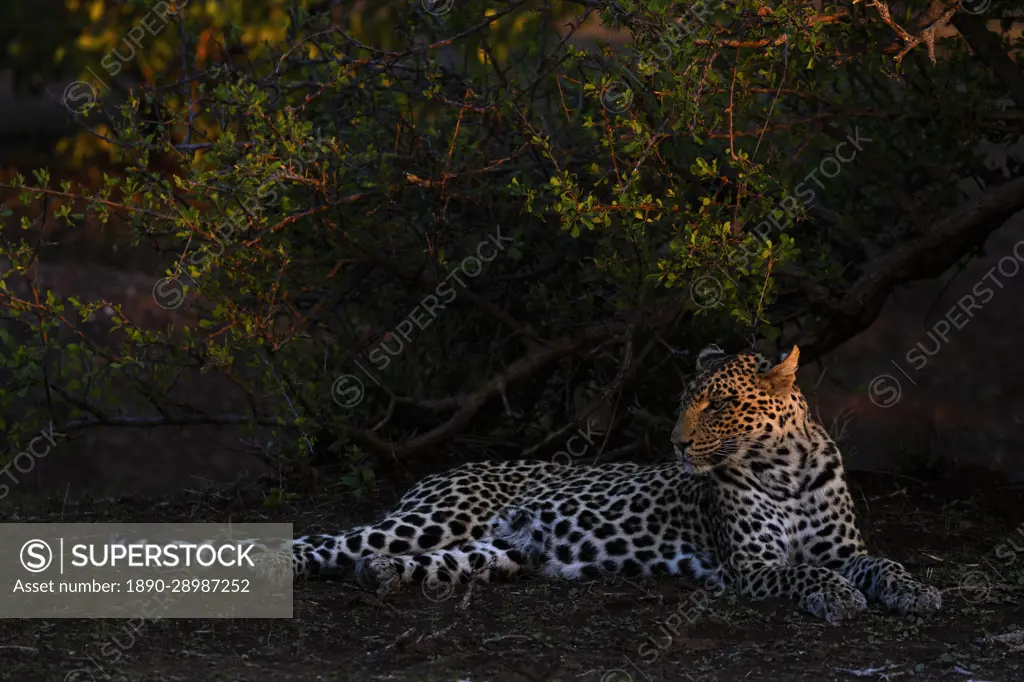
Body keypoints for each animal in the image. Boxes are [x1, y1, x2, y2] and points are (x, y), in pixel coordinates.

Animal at [251, 342, 937, 618]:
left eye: (717, 404)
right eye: (685, 401)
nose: (676, 443)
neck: (786, 469)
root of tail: (452, 467)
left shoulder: (845, 549)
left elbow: (882, 563)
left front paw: (916, 592)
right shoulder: (751, 566)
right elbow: (805, 572)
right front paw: (838, 597)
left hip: (496, 551)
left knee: (395, 561)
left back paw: (381, 578)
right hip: (435, 518)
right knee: (320, 541)